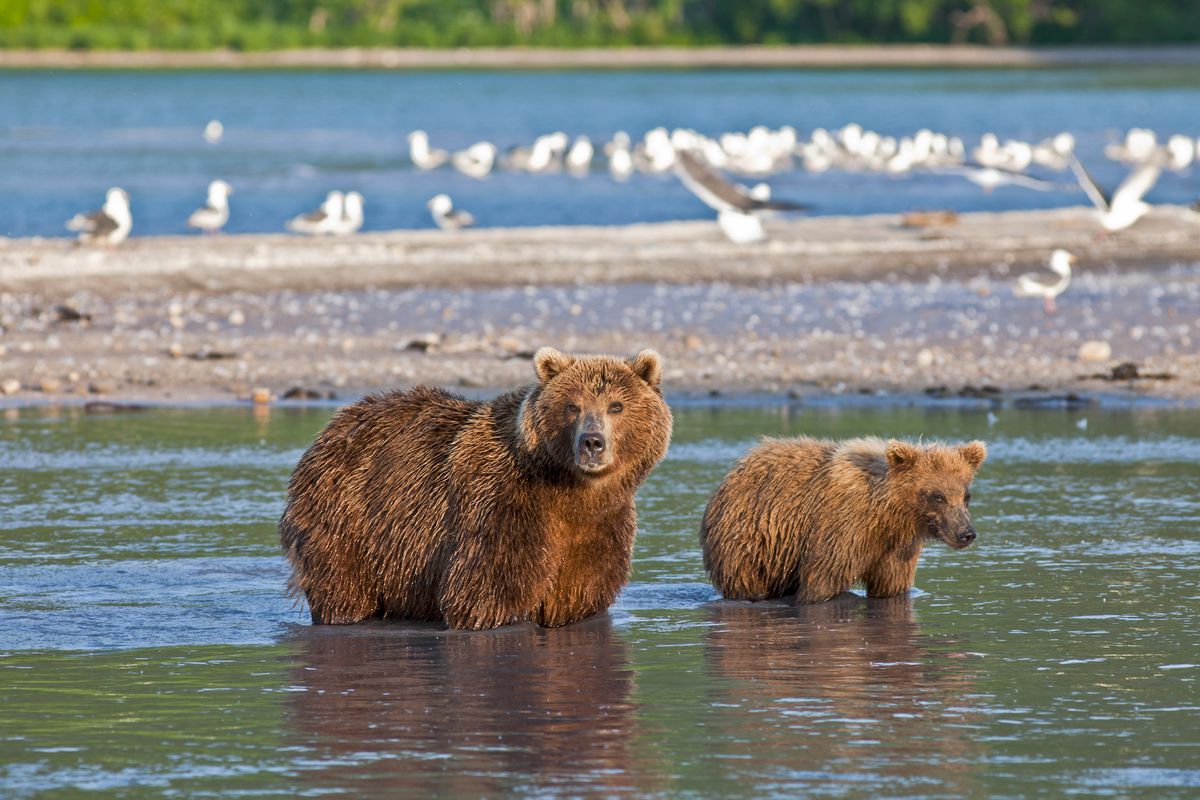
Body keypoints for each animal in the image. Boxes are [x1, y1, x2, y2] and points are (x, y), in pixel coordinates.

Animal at [282, 350, 676, 633]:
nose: (592, 442)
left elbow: (579, 597)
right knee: (344, 590)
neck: (572, 490)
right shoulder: (501, 506)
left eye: (616, 405)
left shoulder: (600, 525)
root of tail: (334, 425)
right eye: (572, 405)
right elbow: (486, 597)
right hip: (349, 520)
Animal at [700, 441, 988, 604]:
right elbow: (823, 581)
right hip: (752, 539)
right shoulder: (842, 528)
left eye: (966, 495)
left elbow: (892, 586)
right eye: (937, 496)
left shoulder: (896, 548)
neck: (888, 515)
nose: (966, 533)